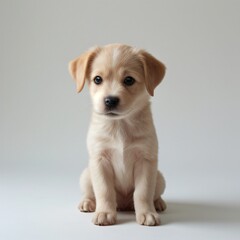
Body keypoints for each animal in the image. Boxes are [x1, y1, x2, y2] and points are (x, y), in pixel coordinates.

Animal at [68, 44, 166, 226]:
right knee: (91, 193)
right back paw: (87, 202)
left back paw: (158, 203)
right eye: (97, 79)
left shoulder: (145, 160)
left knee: (153, 194)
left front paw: (147, 213)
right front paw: (105, 213)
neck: (120, 126)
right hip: (86, 175)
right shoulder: (100, 160)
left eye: (129, 80)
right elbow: (104, 191)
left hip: (159, 178)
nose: (110, 100)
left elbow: (142, 193)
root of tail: (123, 204)